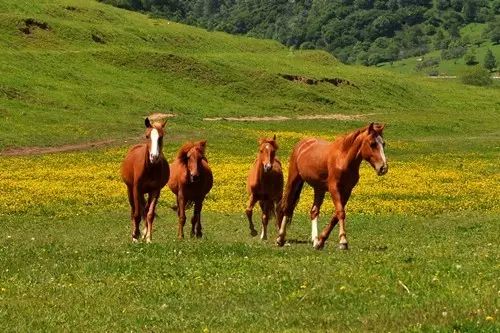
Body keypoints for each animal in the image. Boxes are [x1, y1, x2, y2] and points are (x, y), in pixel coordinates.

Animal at [121, 113, 170, 241]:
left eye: (161, 137)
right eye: (147, 136)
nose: (154, 157)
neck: (149, 168)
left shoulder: (155, 190)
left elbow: (150, 213)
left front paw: (148, 237)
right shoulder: (136, 189)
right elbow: (137, 214)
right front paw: (135, 235)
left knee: (145, 209)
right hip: (130, 190)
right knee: (134, 210)